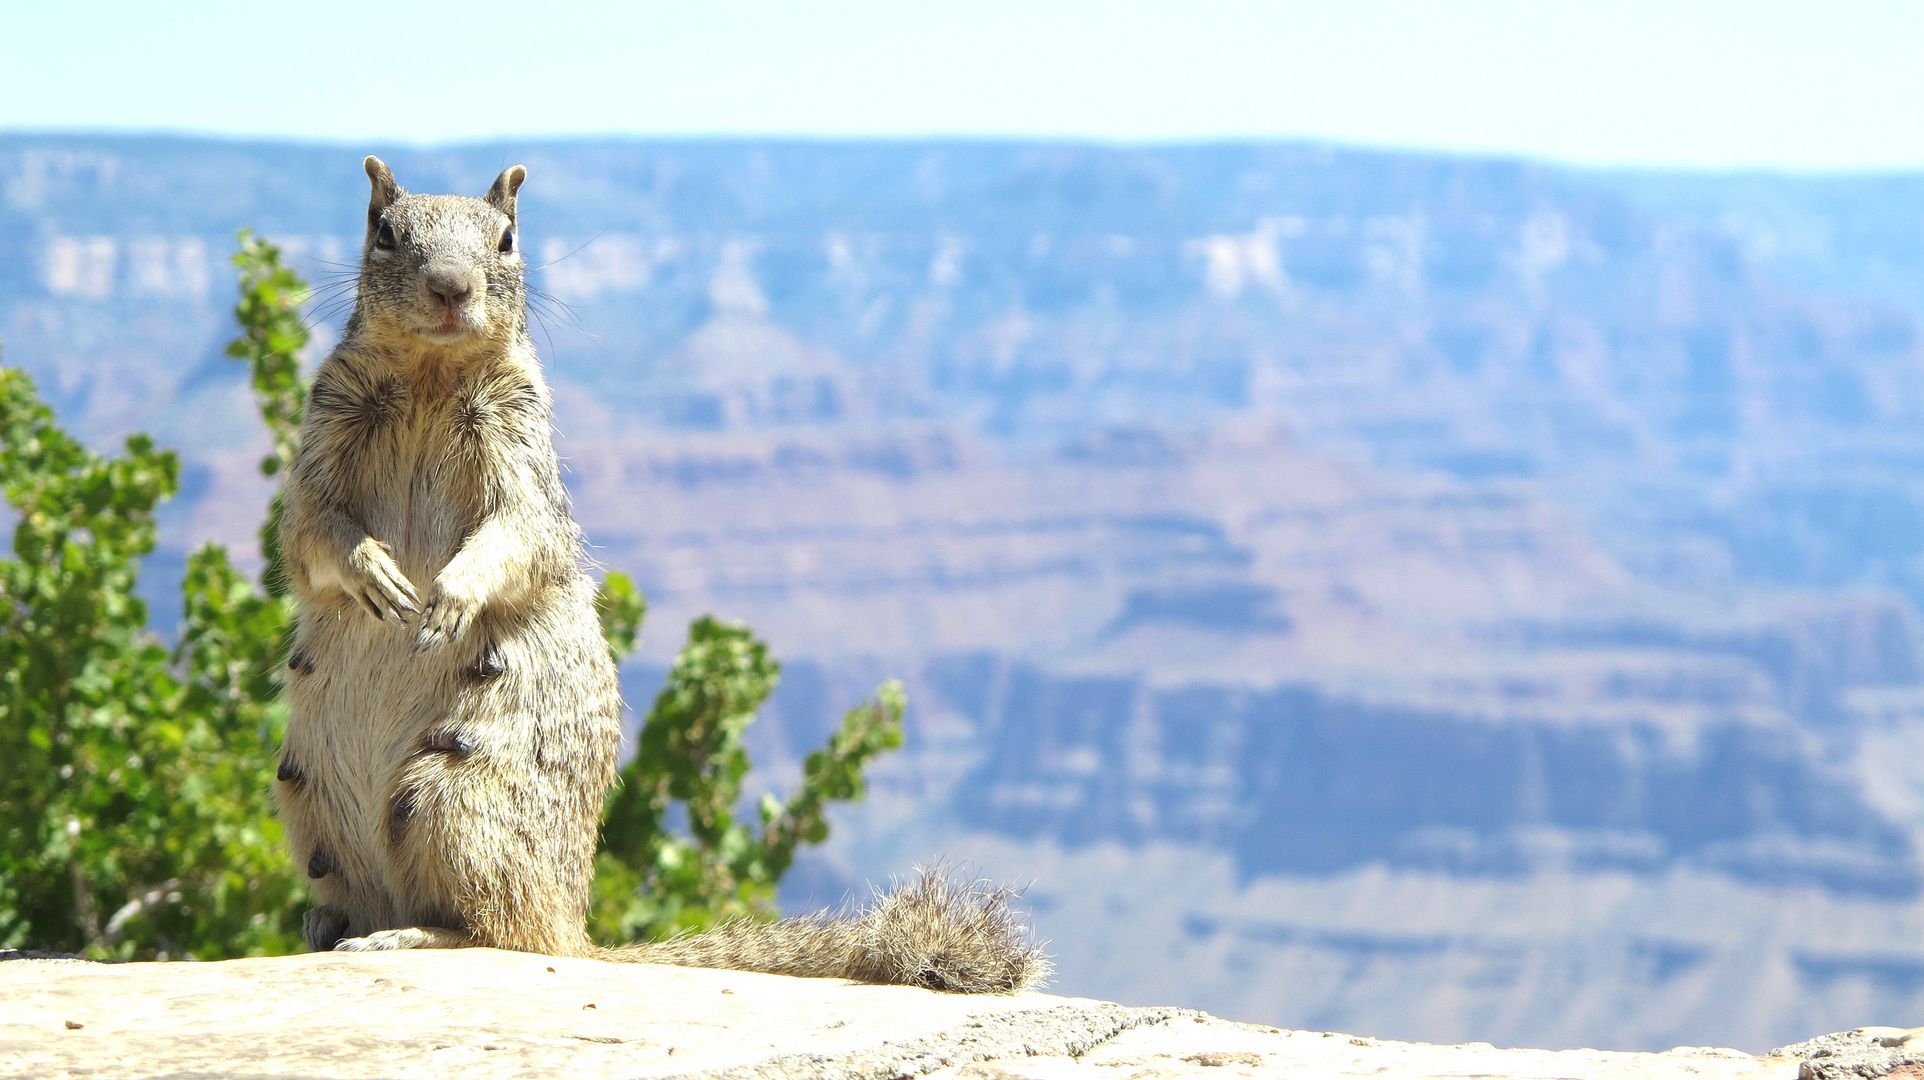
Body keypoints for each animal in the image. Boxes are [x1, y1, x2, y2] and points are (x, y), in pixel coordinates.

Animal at [275, 155, 1038, 993]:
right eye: (384, 232)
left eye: (507, 239)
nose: (450, 287)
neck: (429, 375)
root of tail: (577, 929)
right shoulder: (322, 440)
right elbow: (310, 531)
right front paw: (375, 572)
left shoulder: (522, 451)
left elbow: (516, 534)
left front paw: (450, 595)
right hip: (305, 792)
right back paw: (331, 924)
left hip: (455, 795)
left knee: (499, 931)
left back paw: (406, 934)